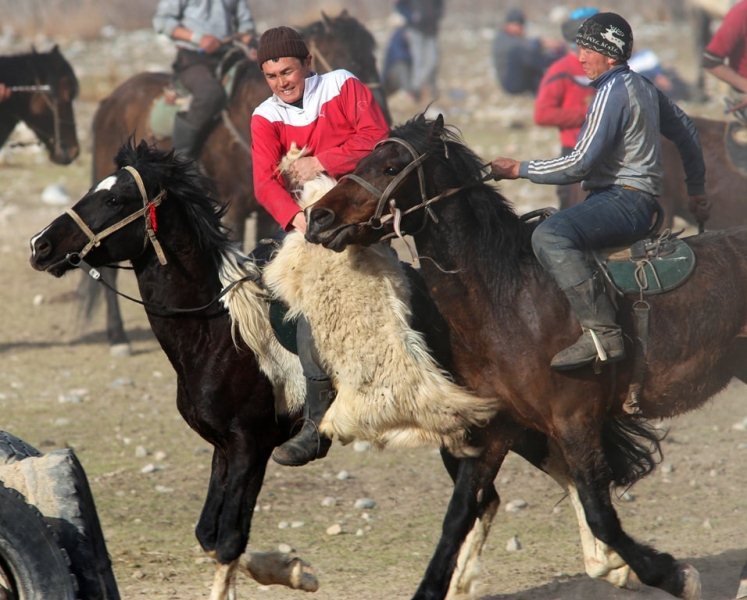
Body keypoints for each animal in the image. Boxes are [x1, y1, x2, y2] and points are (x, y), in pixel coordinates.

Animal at [85, 9, 394, 354]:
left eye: (372, 53)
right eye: (346, 54)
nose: (382, 112)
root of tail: (111, 101)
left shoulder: (265, 213)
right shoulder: (231, 210)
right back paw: (117, 336)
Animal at [304, 113, 747, 600]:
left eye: (390, 167)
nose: (319, 217)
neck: (509, 298)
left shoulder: (575, 422)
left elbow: (601, 517)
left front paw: (674, 574)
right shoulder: (495, 427)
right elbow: (458, 516)